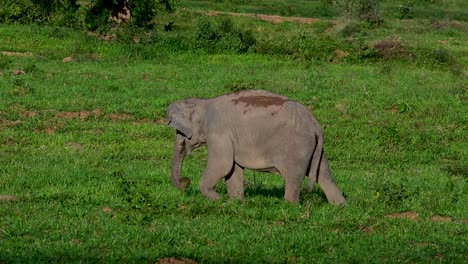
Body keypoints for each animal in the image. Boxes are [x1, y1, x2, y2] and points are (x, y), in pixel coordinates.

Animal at [166, 89, 346, 204]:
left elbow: (222, 164)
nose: (186, 181)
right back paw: (340, 206)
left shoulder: (219, 133)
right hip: (314, 149)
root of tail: (315, 124)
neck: (204, 102)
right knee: (324, 174)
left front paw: (218, 200)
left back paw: (289, 206)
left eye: (179, 131)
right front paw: (236, 202)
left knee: (293, 177)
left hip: (296, 147)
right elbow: (232, 170)